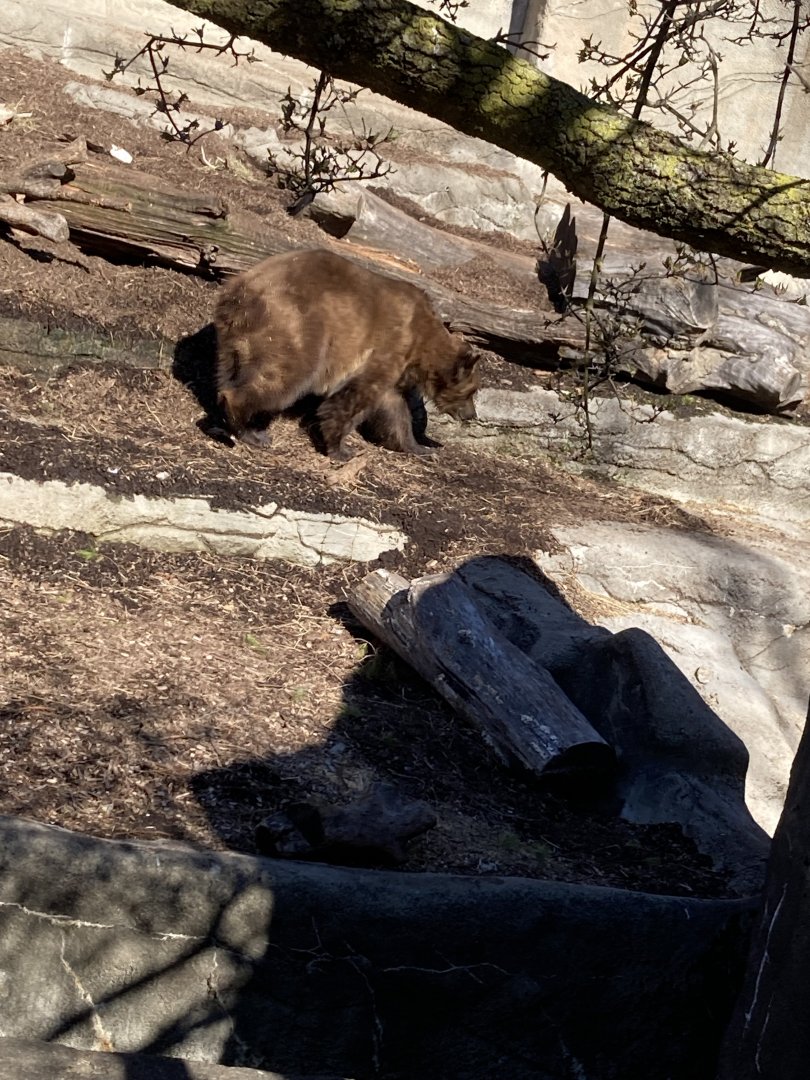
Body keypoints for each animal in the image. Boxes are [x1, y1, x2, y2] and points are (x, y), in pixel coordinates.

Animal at [213, 248, 480, 460]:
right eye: (471, 392)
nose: (472, 415)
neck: (422, 346)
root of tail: (239, 291)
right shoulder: (389, 346)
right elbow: (355, 398)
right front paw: (340, 448)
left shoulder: (395, 371)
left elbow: (394, 410)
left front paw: (419, 447)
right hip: (294, 325)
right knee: (283, 377)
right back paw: (251, 431)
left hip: (233, 340)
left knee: (230, 372)